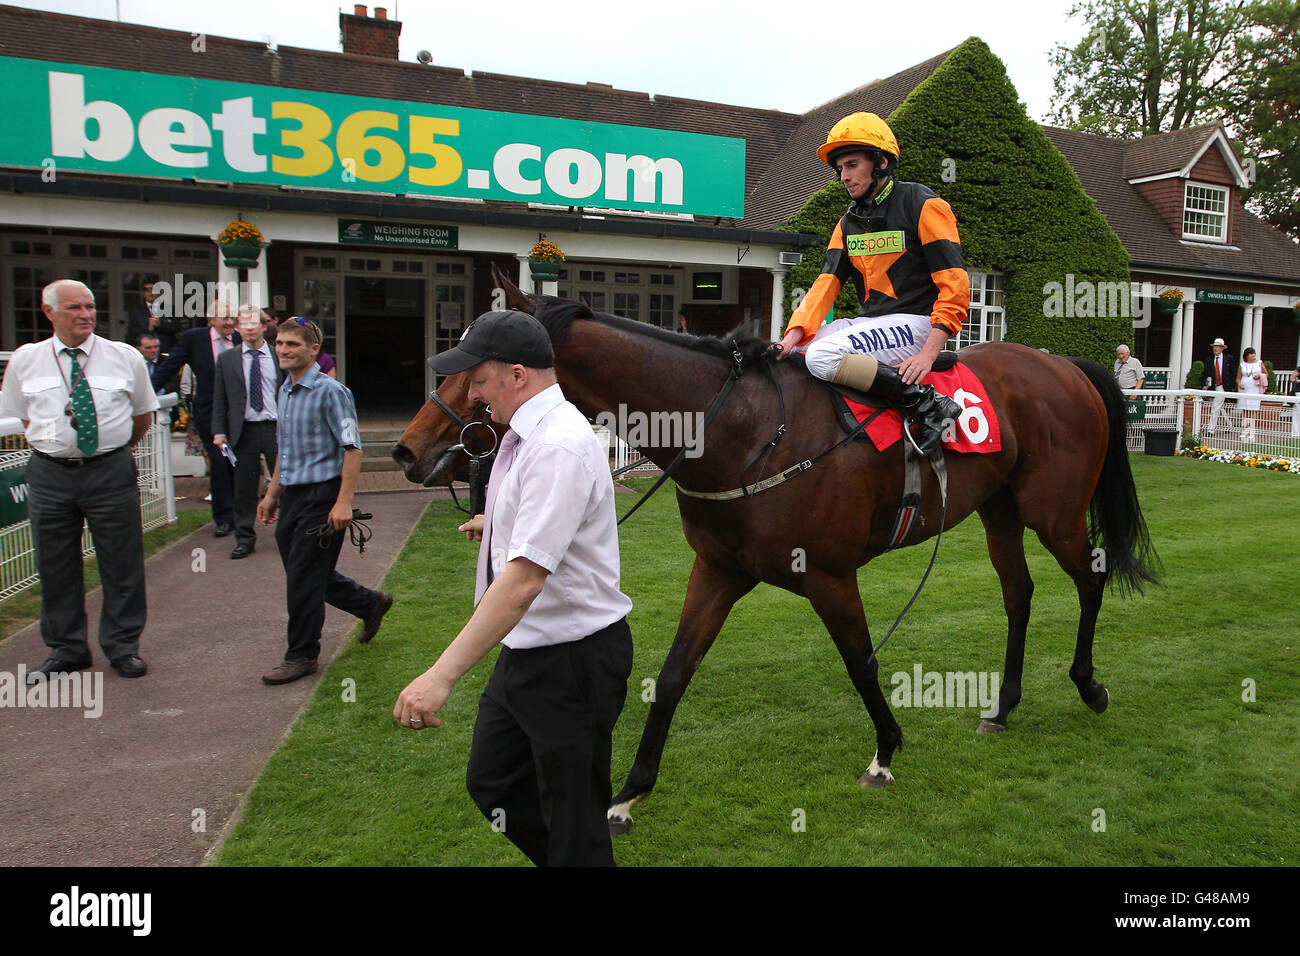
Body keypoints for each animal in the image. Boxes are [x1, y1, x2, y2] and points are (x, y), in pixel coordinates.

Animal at [392, 273, 1159, 832]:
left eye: (476, 370)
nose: (406, 450)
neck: (743, 429)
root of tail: (1063, 365)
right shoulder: (719, 572)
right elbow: (672, 676)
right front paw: (629, 793)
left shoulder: (830, 577)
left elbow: (860, 663)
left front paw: (885, 751)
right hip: (1000, 511)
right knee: (1019, 595)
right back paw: (1002, 706)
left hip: (1053, 512)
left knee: (1089, 582)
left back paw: (1089, 685)